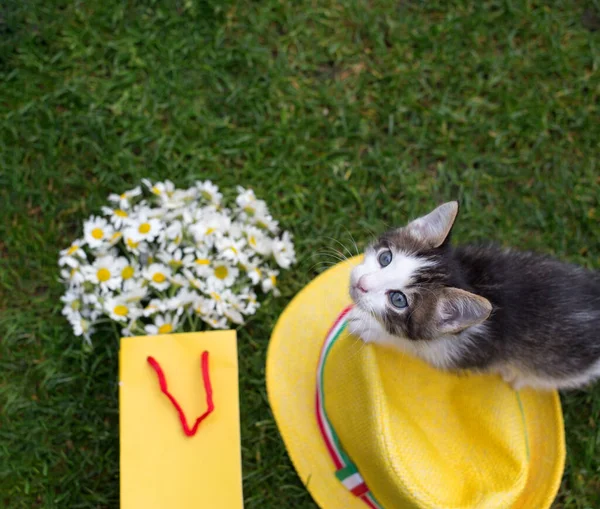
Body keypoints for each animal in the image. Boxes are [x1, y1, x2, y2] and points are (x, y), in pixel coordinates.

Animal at [346, 201, 600, 388]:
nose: (361, 283)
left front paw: (369, 326)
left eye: (398, 300)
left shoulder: (461, 351)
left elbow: (417, 346)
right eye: (385, 258)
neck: (469, 277)